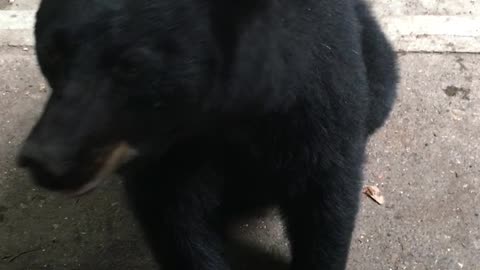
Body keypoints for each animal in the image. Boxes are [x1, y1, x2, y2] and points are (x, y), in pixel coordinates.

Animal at [17, 0, 398, 268]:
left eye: (132, 66)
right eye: (50, 51)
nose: (45, 160)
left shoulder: (314, 84)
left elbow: (324, 190)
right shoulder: (168, 154)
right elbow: (174, 218)